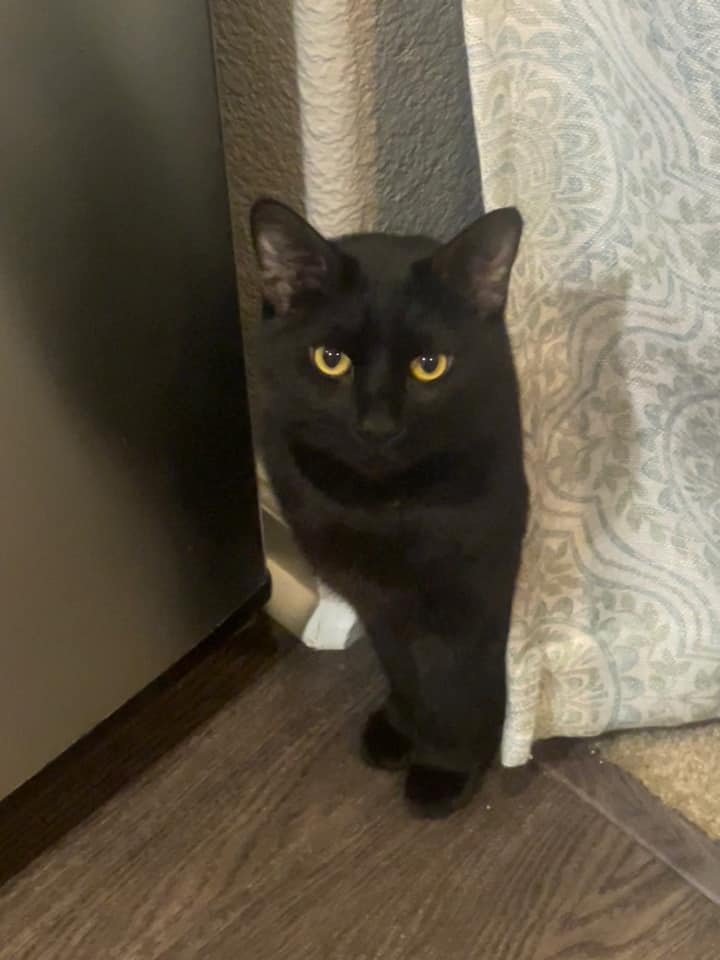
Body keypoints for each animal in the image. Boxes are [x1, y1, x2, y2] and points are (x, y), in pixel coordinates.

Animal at [250, 202, 524, 816]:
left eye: (429, 364)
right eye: (330, 360)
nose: (376, 425)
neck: (381, 505)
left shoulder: (471, 596)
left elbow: (454, 682)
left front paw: (445, 768)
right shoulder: (373, 597)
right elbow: (401, 666)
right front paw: (400, 729)